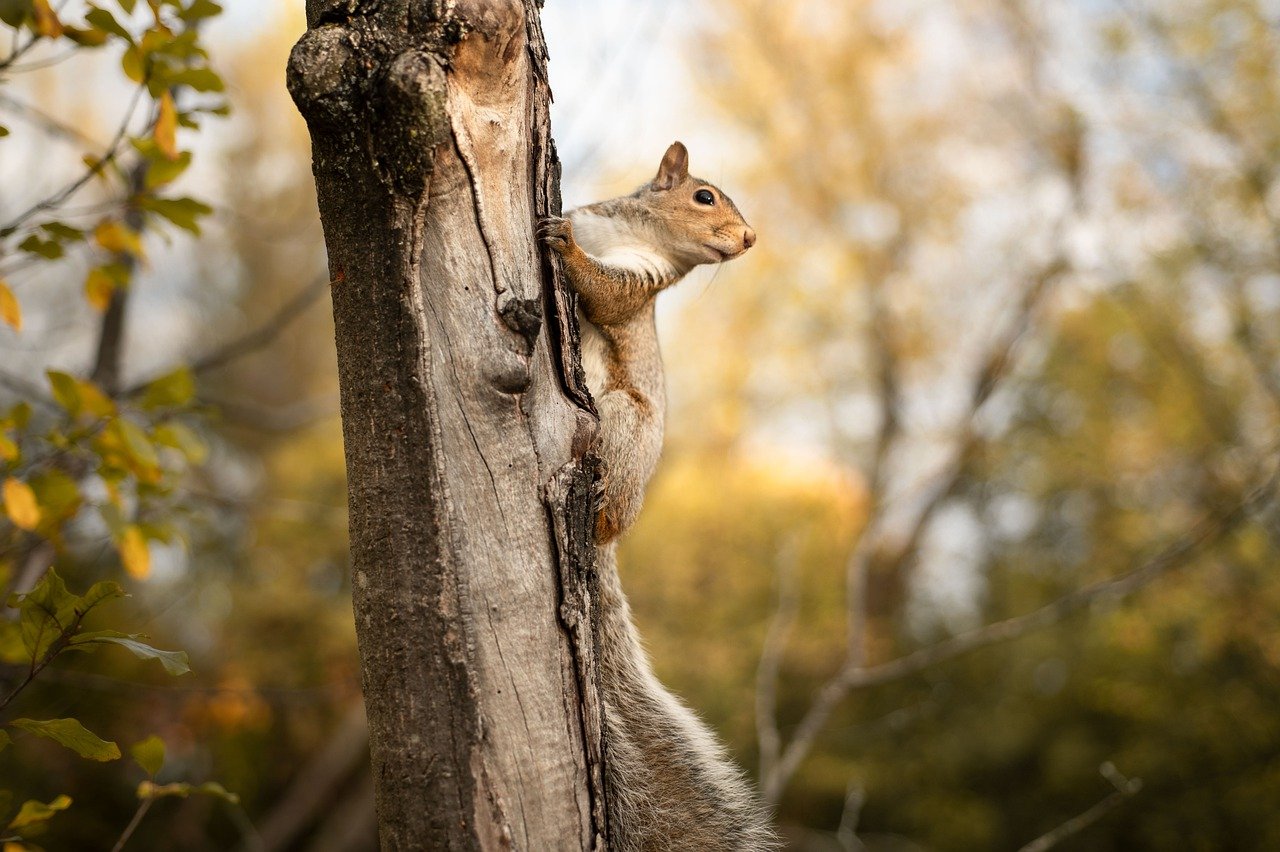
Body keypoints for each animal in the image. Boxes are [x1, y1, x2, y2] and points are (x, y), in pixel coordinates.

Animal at [540, 142, 777, 852]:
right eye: (704, 196)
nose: (749, 238)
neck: (635, 232)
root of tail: (616, 529)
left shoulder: (638, 285)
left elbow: (605, 295)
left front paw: (565, 248)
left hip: (621, 422)